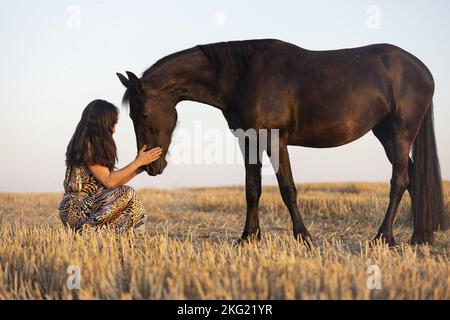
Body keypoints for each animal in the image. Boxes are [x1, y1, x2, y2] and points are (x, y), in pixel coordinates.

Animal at [116, 39, 446, 245]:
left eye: (142, 114)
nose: (151, 167)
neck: (244, 75)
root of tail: (423, 70)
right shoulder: (248, 140)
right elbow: (252, 189)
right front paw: (248, 237)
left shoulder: (276, 140)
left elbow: (287, 188)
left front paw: (303, 236)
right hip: (386, 134)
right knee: (413, 177)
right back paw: (420, 236)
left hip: (401, 133)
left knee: (399, 180)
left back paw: (384, 237)